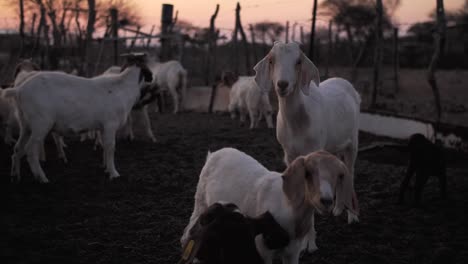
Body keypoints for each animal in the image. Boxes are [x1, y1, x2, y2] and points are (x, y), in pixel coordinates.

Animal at [4, 55, 154, 184]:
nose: (152, 77)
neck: (124, 89)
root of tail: (19, 90)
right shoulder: (110, 125)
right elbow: (111, 147)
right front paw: (114, 173)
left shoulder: (103, 127)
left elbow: (105, 147)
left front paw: (106, 169)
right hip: (40, 123)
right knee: (30, 150)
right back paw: (42, 178)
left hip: (25, 124)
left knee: (17, 149)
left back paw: (15, 176)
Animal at [182, 147, 358, 264]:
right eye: (307, 173)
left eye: (339, 175)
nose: (326, 201)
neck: (287, 205)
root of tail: (214, 154)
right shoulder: (262, 251)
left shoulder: (293, 253)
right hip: (200, 201)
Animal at [254, 41, 360, 252]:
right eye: (271, 60)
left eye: (298, 61)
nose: (282, 84)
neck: (297, 123)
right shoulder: (289, 154)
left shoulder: (314, 150)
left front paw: (310, 244)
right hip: (334, 145)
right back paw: (337, 208)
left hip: (353, 141)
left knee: (350, 171)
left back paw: (352, 216)